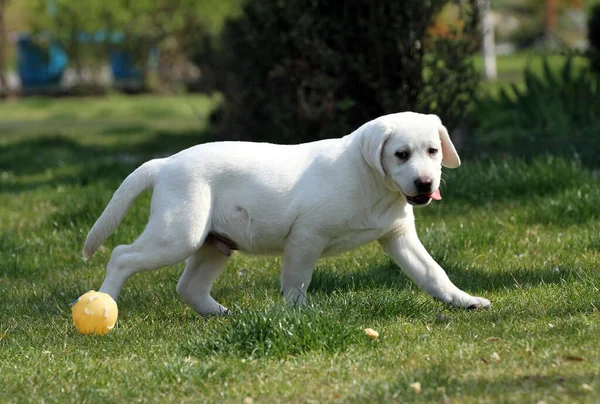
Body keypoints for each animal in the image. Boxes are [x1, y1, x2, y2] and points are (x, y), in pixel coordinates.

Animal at [82, 112, 490, 314]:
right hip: (178, 234)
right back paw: (106, 302)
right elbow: (297, 281)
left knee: (189, 287)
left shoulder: (399, 237)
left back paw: (222, 313)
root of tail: (164, 164)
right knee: (121, 256)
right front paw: (300, 313)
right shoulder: (306, 237)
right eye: (401, 154)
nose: (425, 183)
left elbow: (433, 273)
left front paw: (464, 300)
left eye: (433, 151)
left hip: (213, 244)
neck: (372, 181)